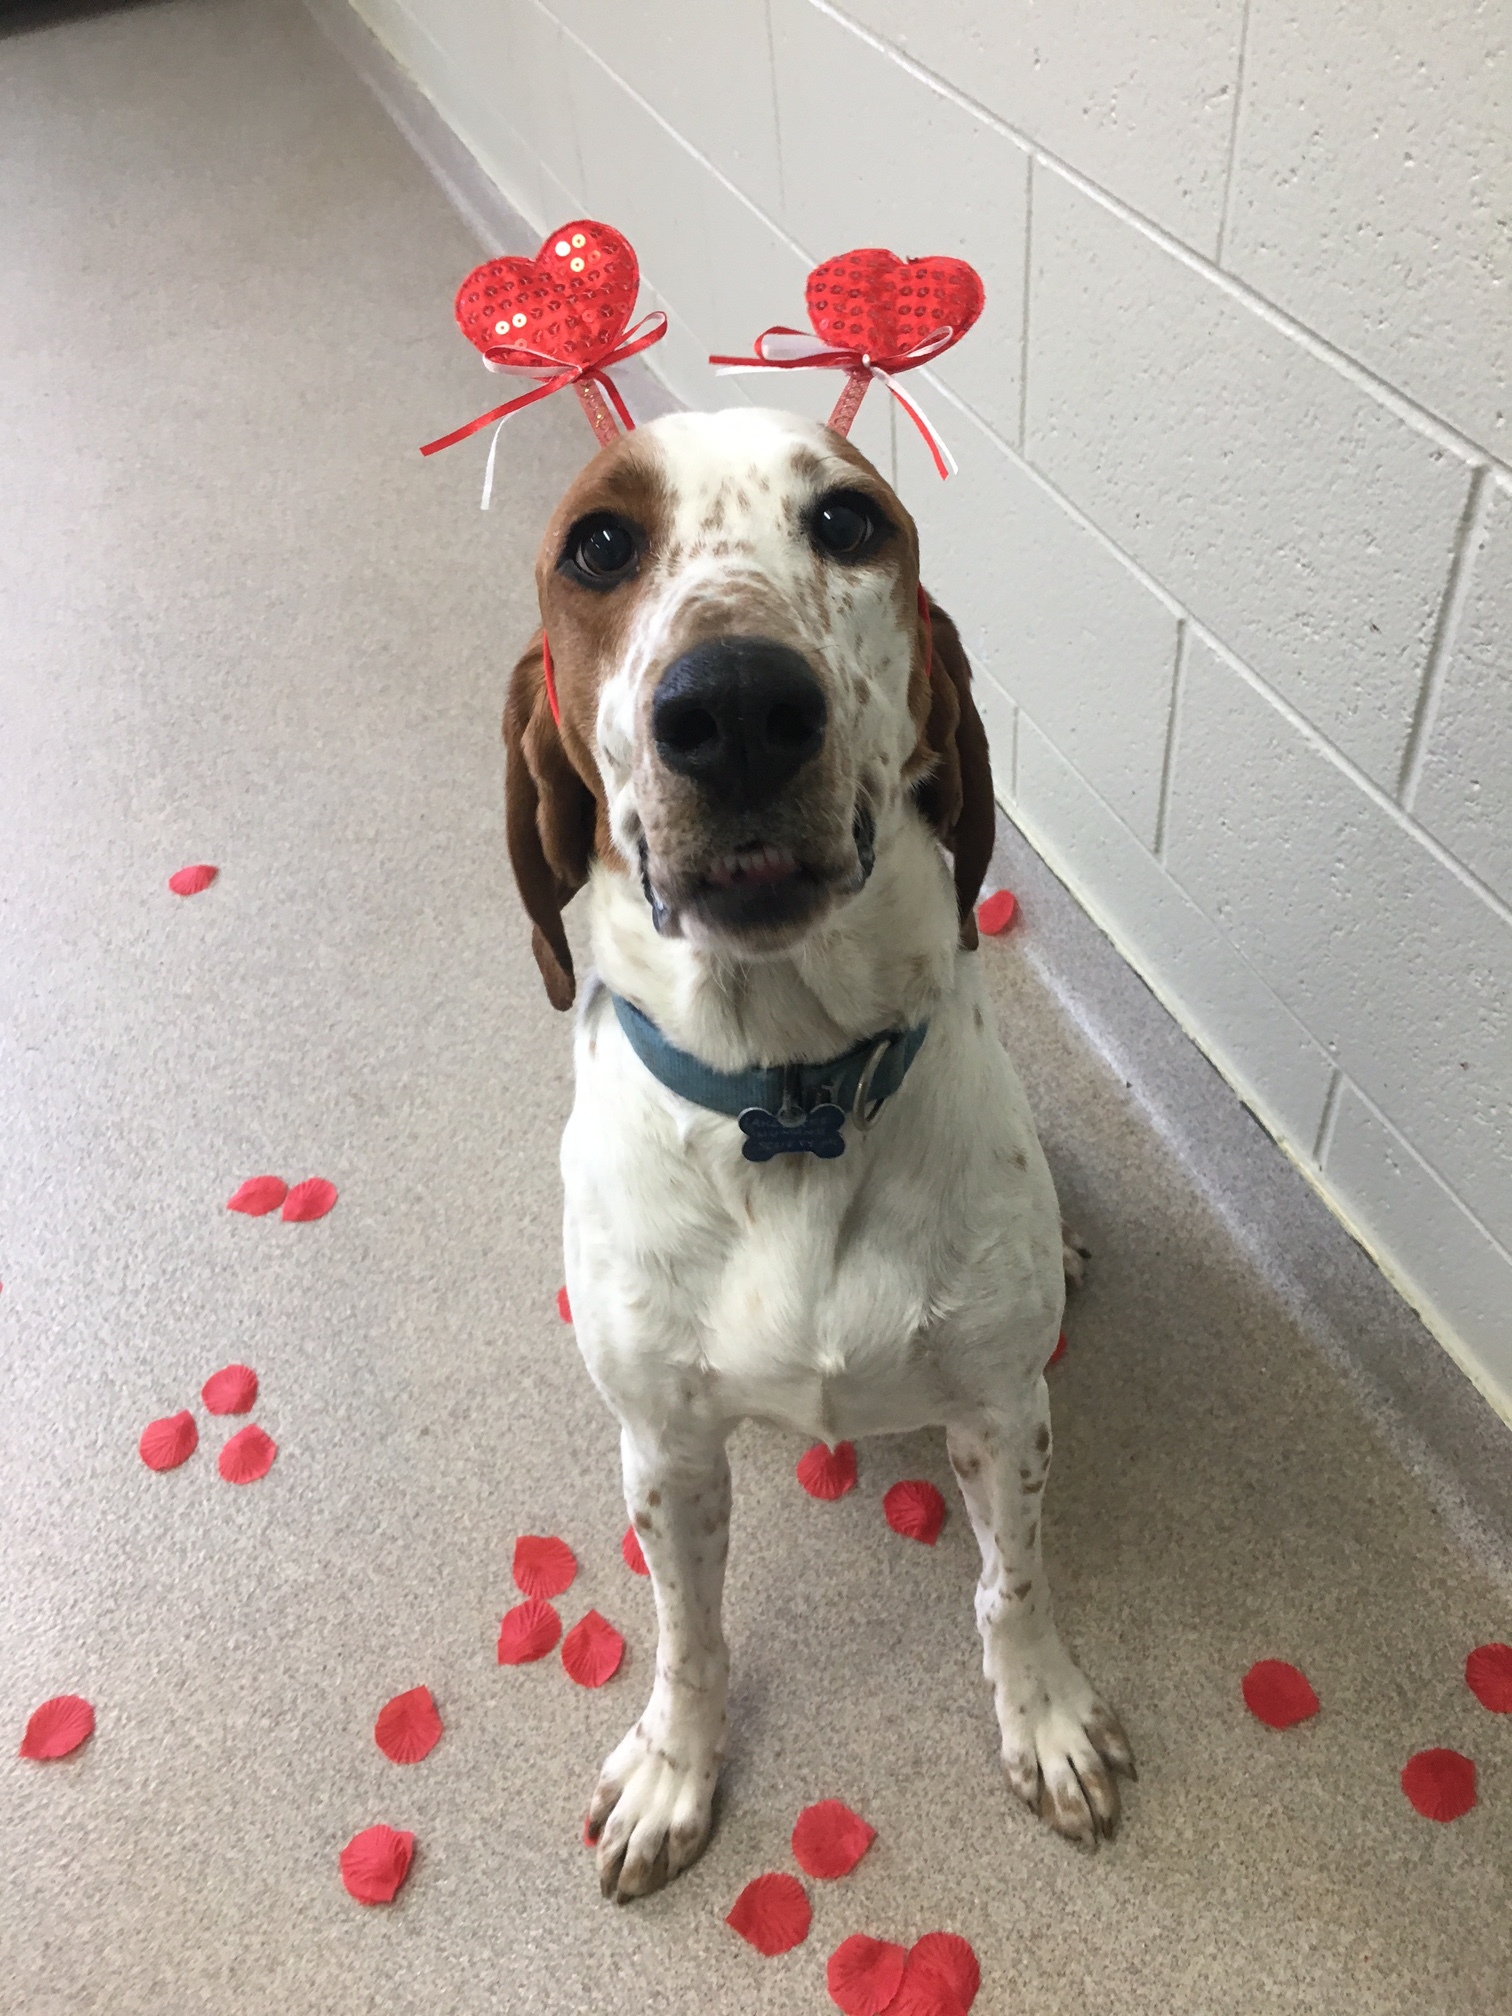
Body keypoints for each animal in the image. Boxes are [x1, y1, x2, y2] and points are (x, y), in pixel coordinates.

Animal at [510, 401, 1137, 1895]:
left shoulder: (1003, 1411)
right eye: (599, 544)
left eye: (850, 522)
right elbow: (688, 1633)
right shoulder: (665, 1450)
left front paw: (1045, 1717)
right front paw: (677, 1768)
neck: (789, 1093)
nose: (736, 705)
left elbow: (1012, 1583)